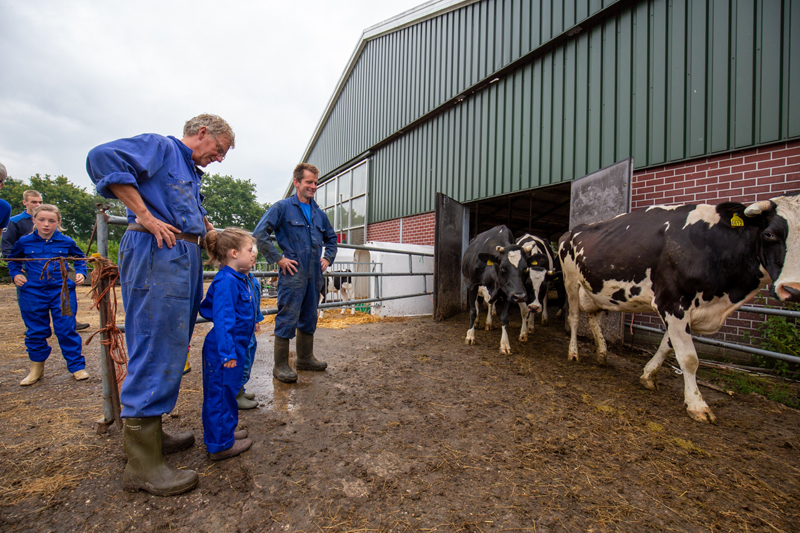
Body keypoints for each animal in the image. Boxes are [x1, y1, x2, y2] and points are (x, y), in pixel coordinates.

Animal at [462, 224, 532, 354]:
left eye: (525, 268)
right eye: (502, 267)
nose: (520, 296)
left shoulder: (508, 292)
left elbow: (504, 317)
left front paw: (505, 344)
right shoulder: (473, 285)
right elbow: (473, 310)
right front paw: (470, 336)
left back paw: (488, 323)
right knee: (478, 304)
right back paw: (477, 322)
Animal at [560, 193, 800, 422]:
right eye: (769, 234)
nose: (793, 289)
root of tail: (572, 231)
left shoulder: (685, 312)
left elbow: (667, 346)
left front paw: (648, 375)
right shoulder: (673, 302)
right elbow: (689, 358)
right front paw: (697, 405)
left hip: (598, 290)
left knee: (593, 319)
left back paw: (602, 353)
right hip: (571, 281)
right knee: (574, 318)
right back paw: (573, 352)